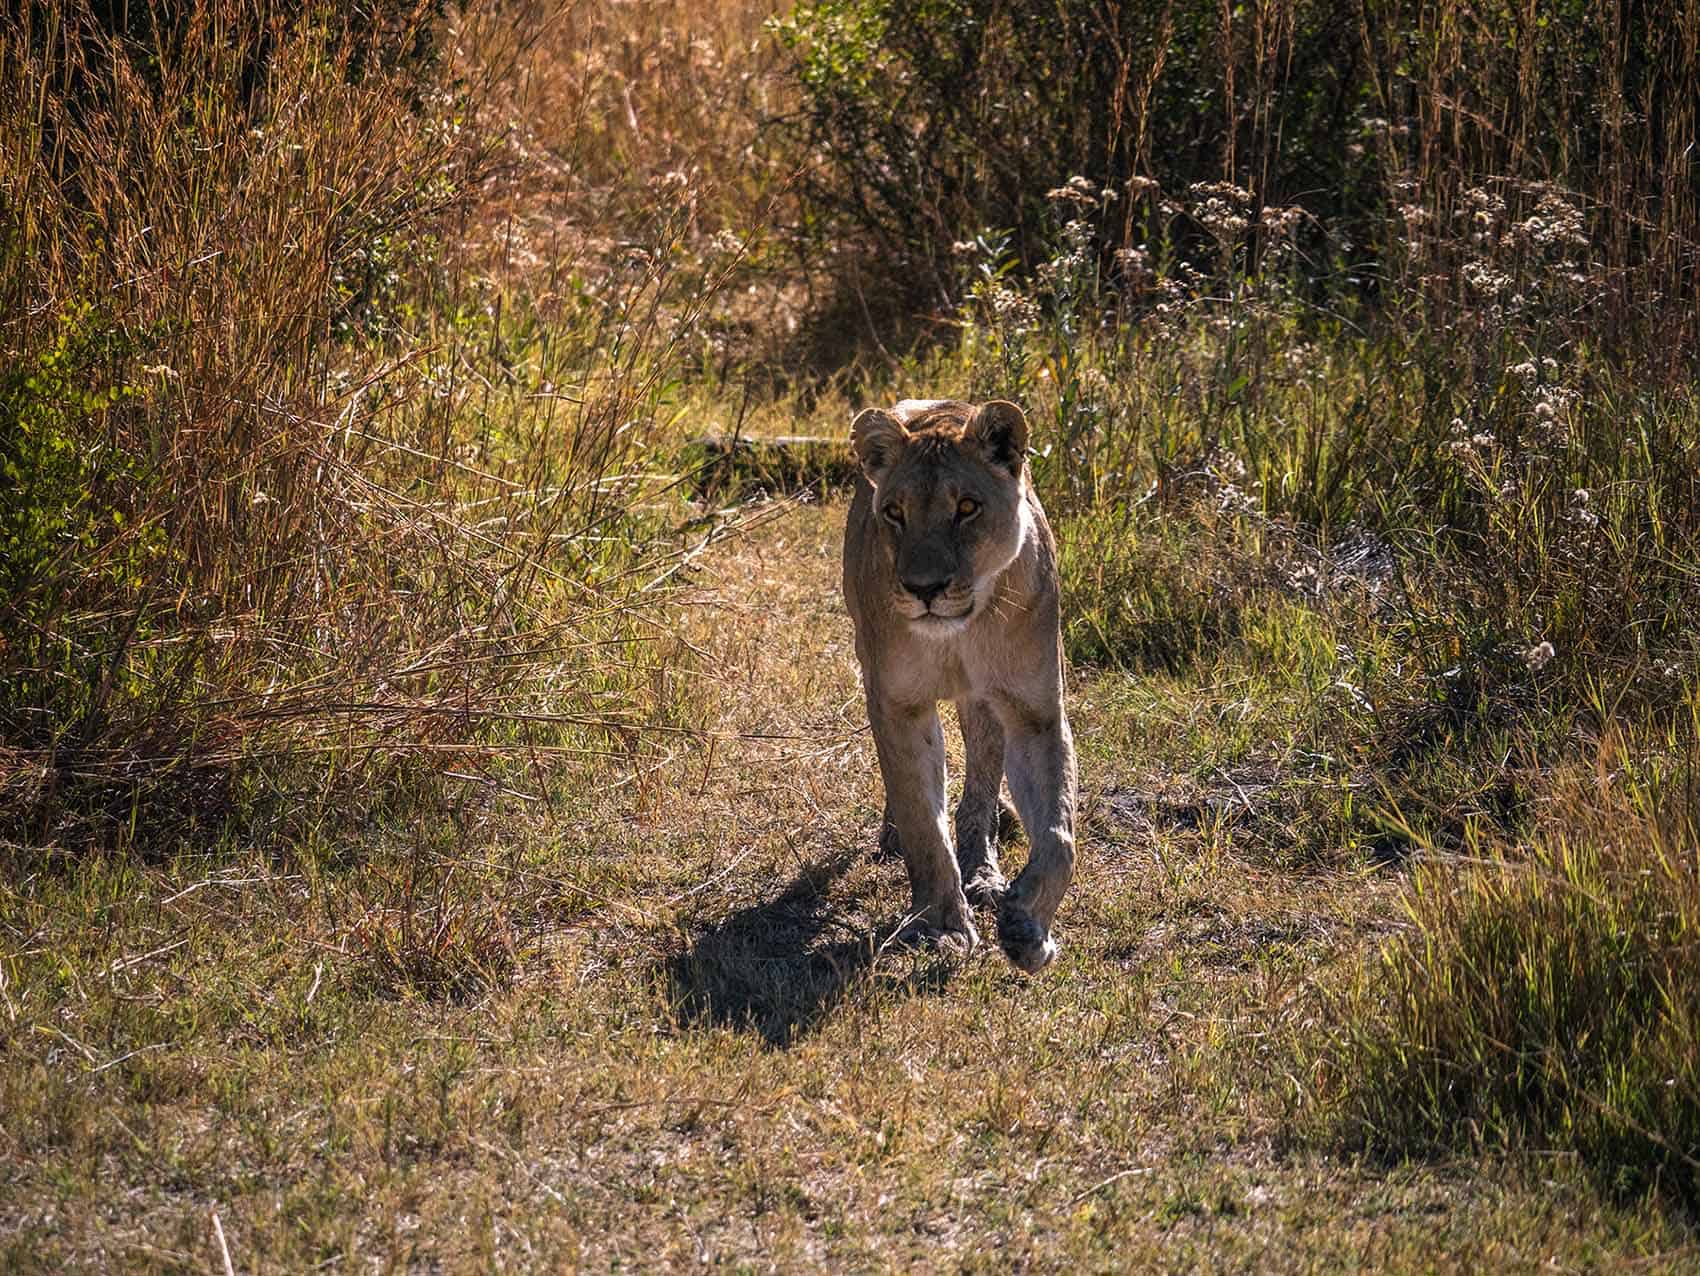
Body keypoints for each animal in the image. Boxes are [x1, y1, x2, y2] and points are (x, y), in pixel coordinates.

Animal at [842, 398, 1077, 974]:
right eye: (894, 513)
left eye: (967, 508)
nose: (923, 588)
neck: (959, 632)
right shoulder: (898, 704)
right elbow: (923, 821)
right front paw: (942, 927)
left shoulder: (1036, 712)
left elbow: (1059, 836)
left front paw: (1026, 928)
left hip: (984, 704)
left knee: (981, 782)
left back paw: (983, 872)